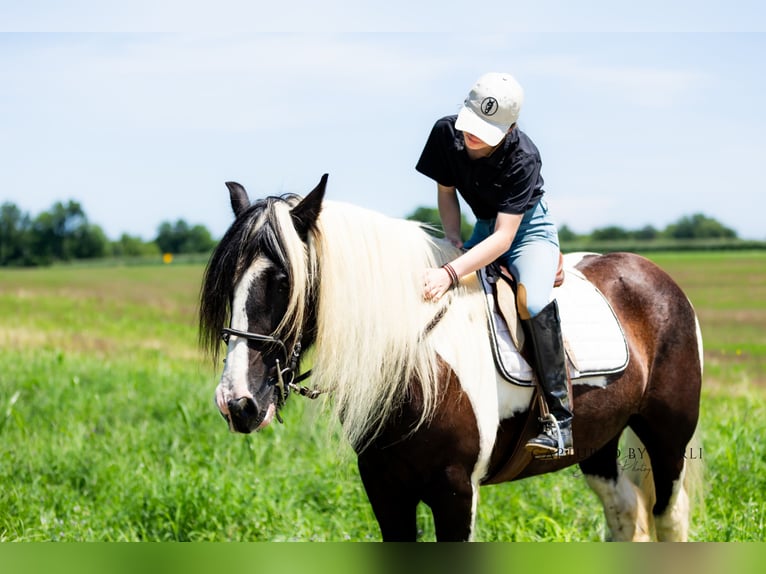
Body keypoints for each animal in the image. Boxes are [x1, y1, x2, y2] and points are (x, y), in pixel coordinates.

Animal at [199, 174, 703, 542]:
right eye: (227, 282)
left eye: (284, 281)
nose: (237, 403)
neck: (416, 365)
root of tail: (653, 273)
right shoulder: (385, 489)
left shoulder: (455, 491)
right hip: (599, 442)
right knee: (624, 512)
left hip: (668, 439)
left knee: (668, 517)